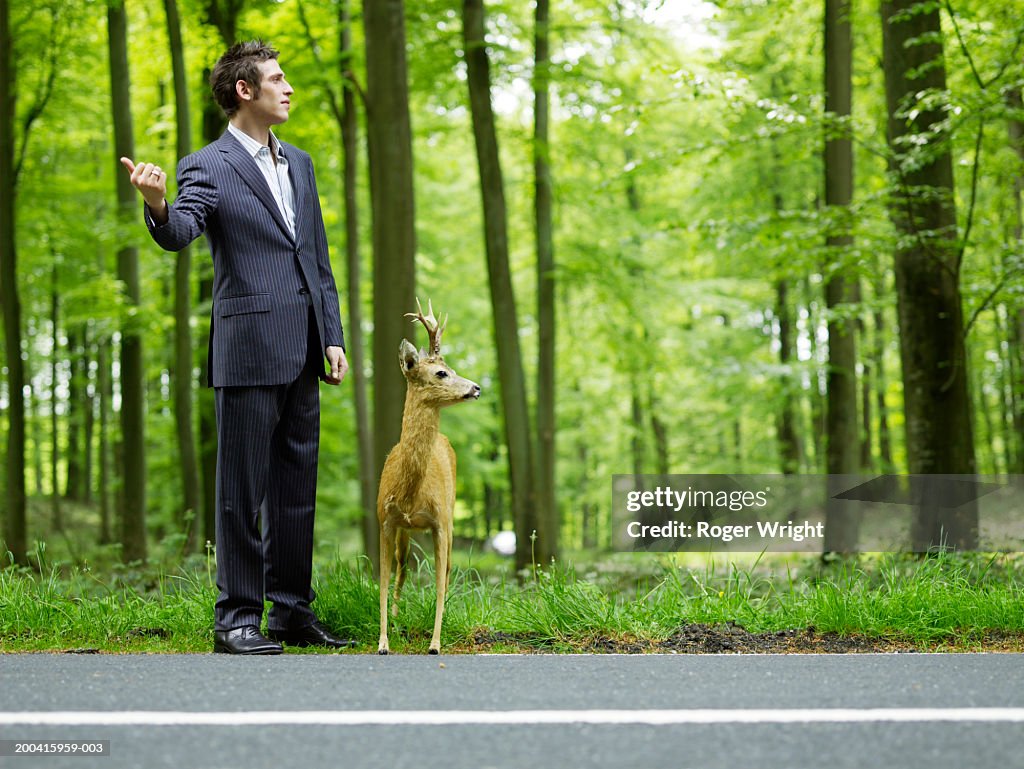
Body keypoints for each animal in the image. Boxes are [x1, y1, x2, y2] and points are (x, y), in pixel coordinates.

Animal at [378, 296, 481, 651]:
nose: (476, 387)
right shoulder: (385, 520)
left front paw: (435, 642)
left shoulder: (439, 522)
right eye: (441, 372)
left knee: (447, 570)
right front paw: (383, 641)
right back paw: (397, 617)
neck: (410, 492)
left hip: (450, 518)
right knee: (402, 567)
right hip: (405, 532)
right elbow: (383, 582)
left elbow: (437, 581)